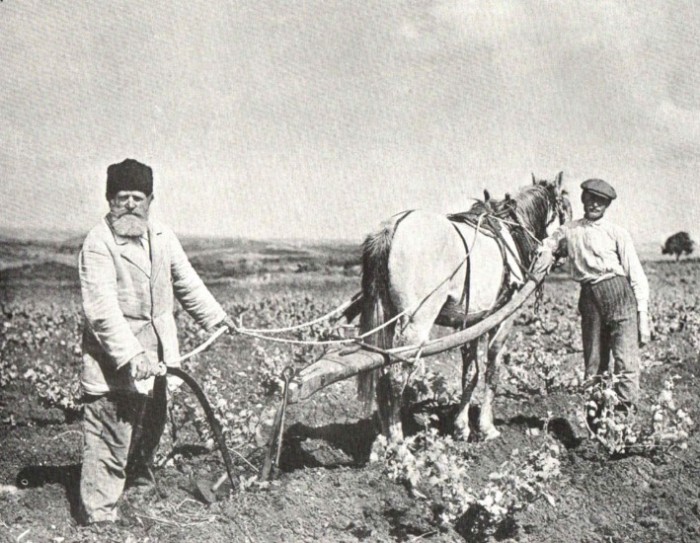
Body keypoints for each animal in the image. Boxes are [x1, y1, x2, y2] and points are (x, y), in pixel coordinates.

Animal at [358, 173, 572, 442]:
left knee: (380, 372)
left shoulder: (472, 322)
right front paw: (487, 427)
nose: (564, 253)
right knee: (395, 377)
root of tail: (393, 225)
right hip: (415, 323)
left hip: (386, 317)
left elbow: (470, 374)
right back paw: (398, 442)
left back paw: (382, 436)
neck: (513, 229)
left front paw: (461, 427)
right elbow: (492, 371)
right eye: (566, 209)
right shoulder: (503, 319)